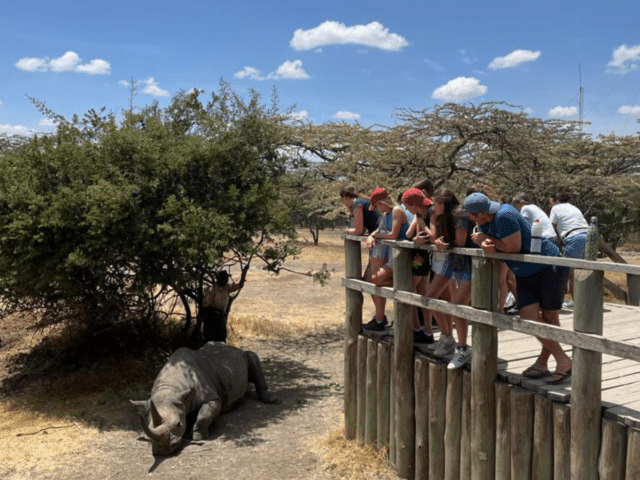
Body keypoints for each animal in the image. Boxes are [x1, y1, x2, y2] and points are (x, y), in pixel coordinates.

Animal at [131, 342, 278, 454]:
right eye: (148, 426)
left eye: (179, 424)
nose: (163, 451)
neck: (170, 388)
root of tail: (233, 347)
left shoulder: (213, 399)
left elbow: (204, 415)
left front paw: (197, 437)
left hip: (241, 356)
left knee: (252, 356)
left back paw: (272, 400)